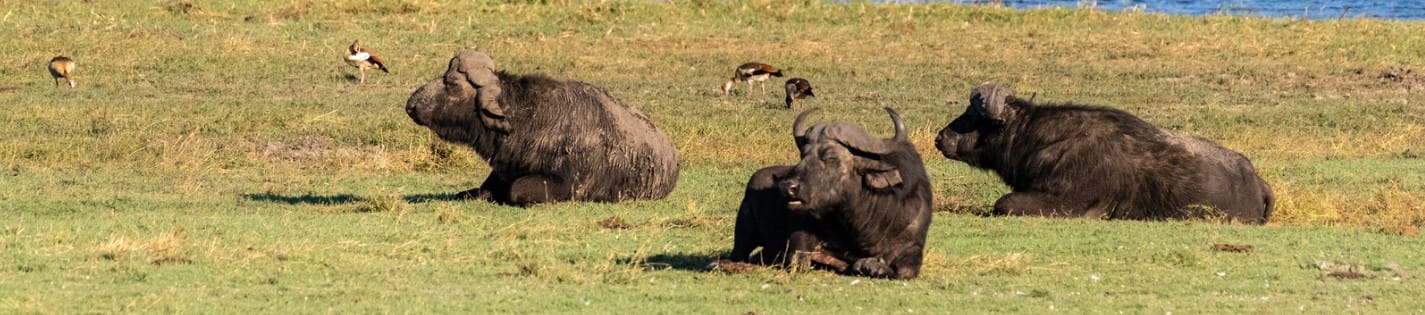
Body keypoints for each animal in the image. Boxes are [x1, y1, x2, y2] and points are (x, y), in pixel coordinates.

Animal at [723, 107, 934, 277]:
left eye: (831, 158)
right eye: (803, 155)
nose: (787, 187)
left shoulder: (913, 246)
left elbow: (905, 271)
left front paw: (872, 266)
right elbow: (800, 260)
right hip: (744, 230)